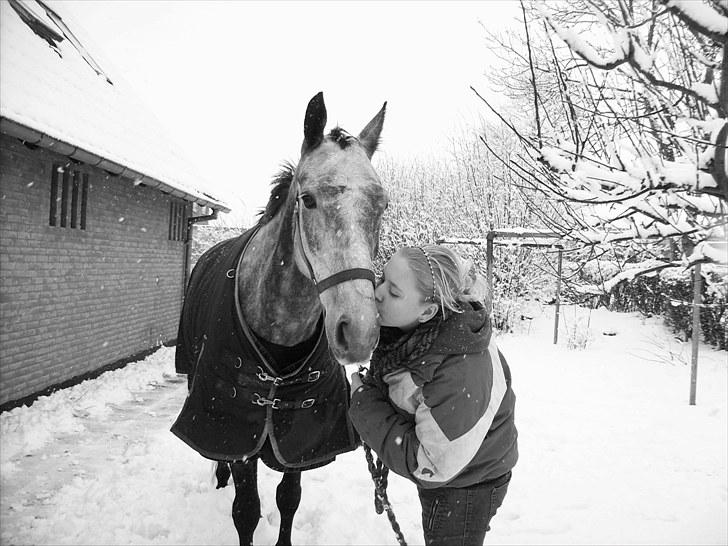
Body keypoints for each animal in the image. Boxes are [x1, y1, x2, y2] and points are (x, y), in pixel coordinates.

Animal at [172, 91, 386, 540]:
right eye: (308, 199)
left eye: (381, 205)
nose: (359, 331)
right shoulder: (237, 427)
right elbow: (246, 510)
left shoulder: (301, 438)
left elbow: (289, 499)